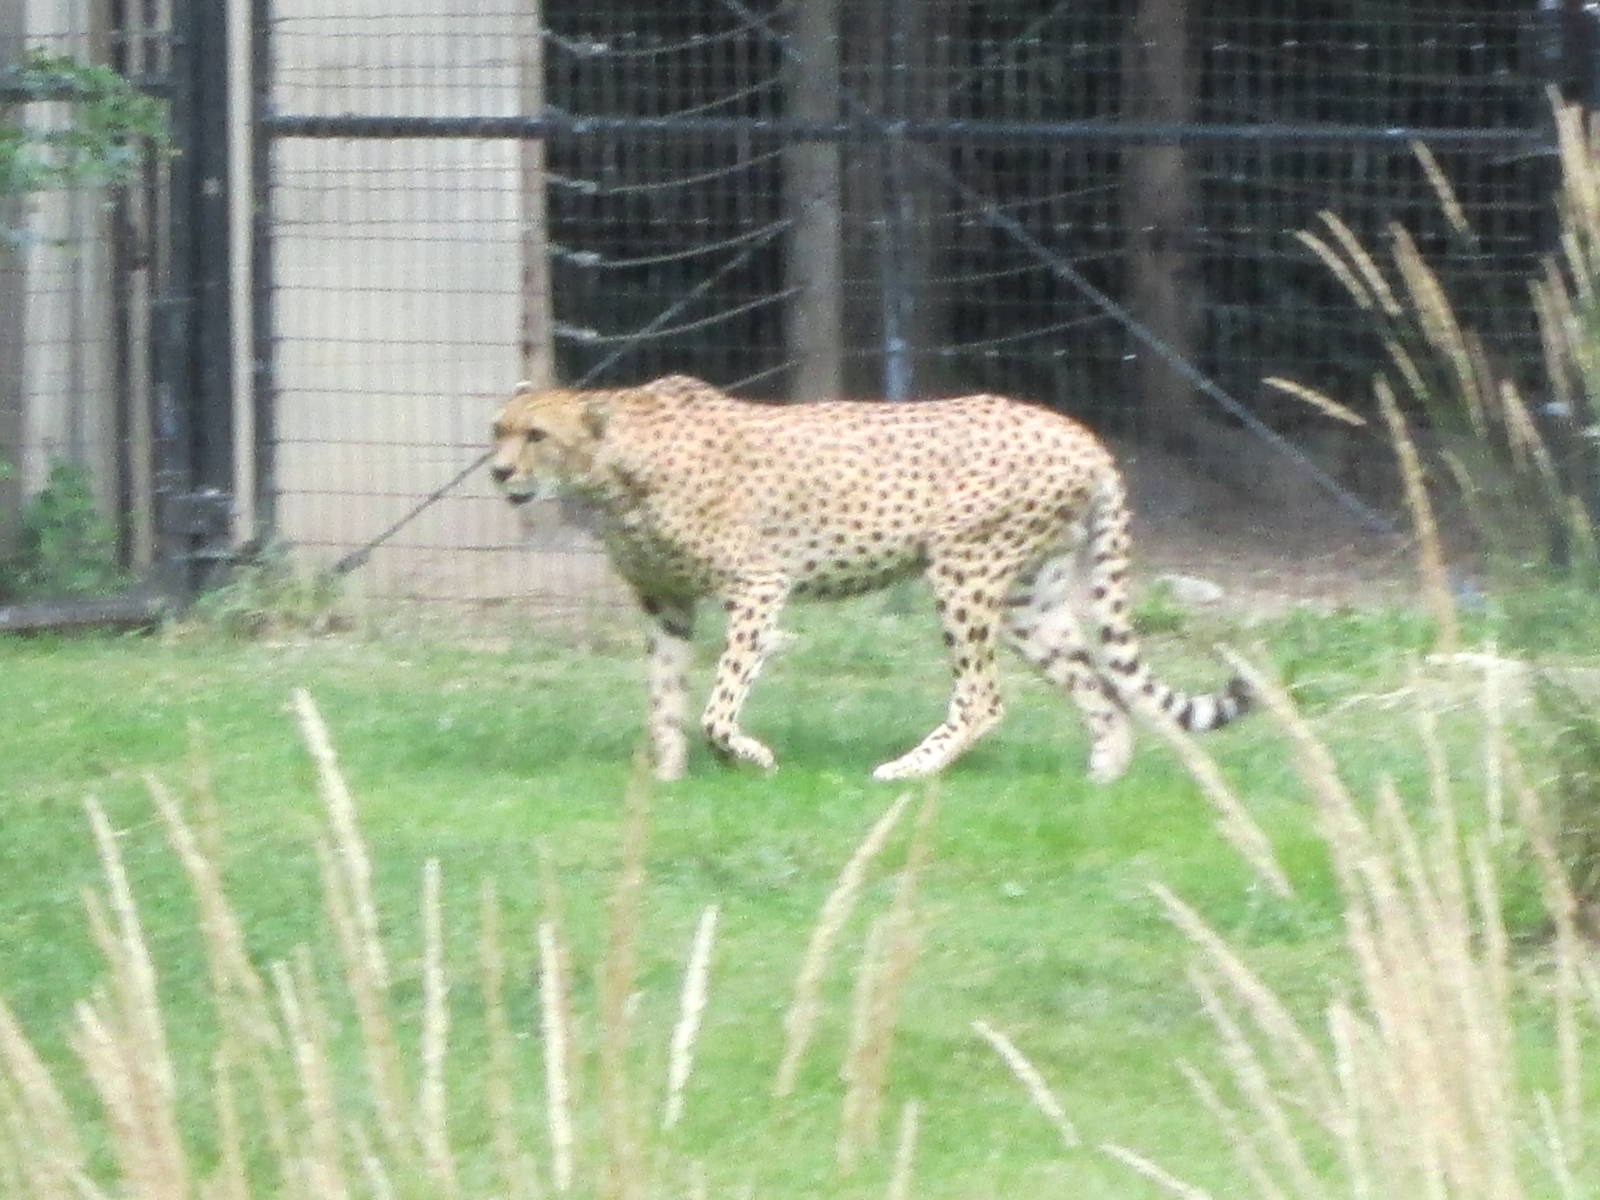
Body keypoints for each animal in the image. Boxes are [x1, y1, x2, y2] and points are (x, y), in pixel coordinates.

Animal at [489, 374, 1250, 782]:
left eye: (537, 437)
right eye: (498, 429)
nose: (498, 472)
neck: (613, 469)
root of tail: (1077, 431)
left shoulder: (760, 585)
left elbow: (717, 705)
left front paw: (749, 756)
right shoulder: (664, 600)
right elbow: (665, 698)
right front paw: (667, 778)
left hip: (963, 569)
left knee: (983, 696)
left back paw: (909, 770)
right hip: (1030, 597)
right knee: (1103, 690)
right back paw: (1101, 781)